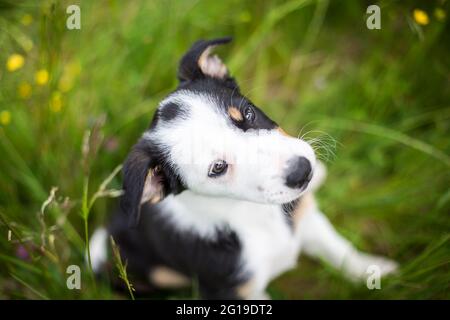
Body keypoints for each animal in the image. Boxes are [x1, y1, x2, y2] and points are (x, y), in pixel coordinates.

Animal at [89, 37, 398, 300]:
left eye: (248, 113)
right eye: (218, 168)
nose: (303, 171)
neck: (253, 213)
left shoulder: (306, 219)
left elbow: (340, 250)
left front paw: (374, 271)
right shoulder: (236, 292)